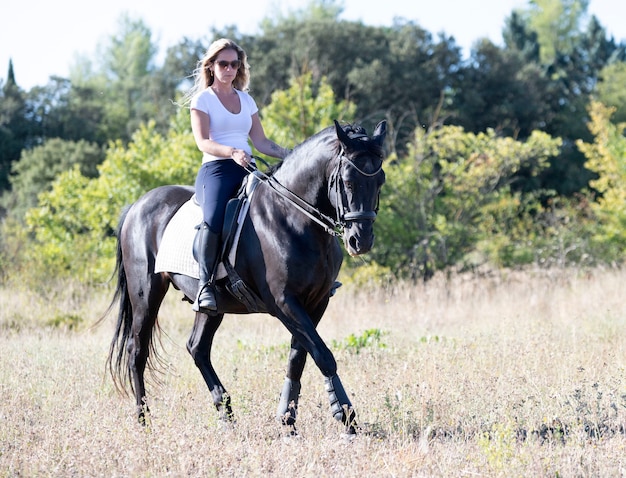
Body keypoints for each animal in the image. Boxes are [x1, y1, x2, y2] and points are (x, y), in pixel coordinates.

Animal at [105, 118, 386, 434]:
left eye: (380, 180)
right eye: (348, 181)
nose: (360, 241)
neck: (293, 218)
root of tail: (136, 206)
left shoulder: (317, 301)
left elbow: (299, 357)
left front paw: (288, 419)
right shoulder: (284, 303)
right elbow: (323, 355)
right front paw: (346, 418)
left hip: (212, 307)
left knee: (197, 348)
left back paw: (226, 413)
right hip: (146, 293)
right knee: (137, 351)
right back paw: (144, 421)